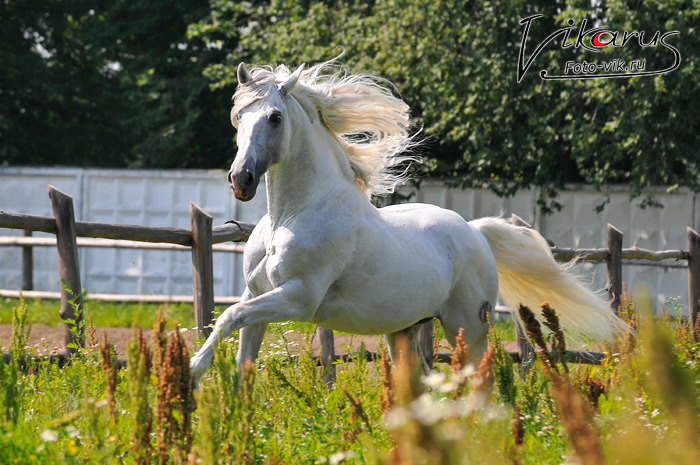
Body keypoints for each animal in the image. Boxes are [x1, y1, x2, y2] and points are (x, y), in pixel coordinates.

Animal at [189, 59, 628, 384]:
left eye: (275, 117)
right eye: (237, 116)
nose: (241, 179)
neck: (292, 215)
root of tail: (474, 231)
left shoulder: (298, 297)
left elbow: (226, 316)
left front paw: (192, 372)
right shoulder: (256, 293)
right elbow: (241, 356)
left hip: (468, 326)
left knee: (479, 380)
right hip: (405, 329)